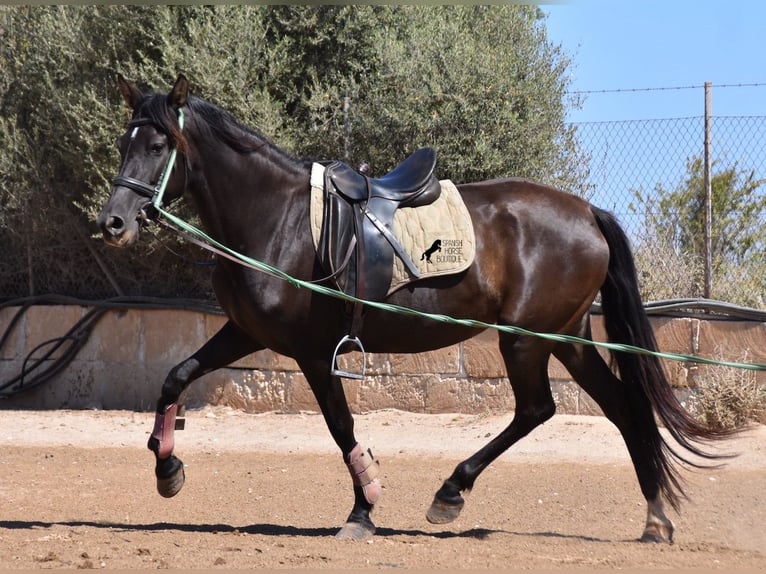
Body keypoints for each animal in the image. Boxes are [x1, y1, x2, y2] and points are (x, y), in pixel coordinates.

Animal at [96, 75, 732, 544]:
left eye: (158, 146)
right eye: (123, 143)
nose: (113, 223)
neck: (278, 218)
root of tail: (587, 212)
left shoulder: (311, 352)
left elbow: (341, 427)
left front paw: (364, 510)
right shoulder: (245, 333)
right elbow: (175, 378)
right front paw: (167, 469)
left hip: (525, 339)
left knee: (537, 410)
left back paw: (450, 492)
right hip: (567, 339)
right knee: (622, 409)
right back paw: (655, 520)